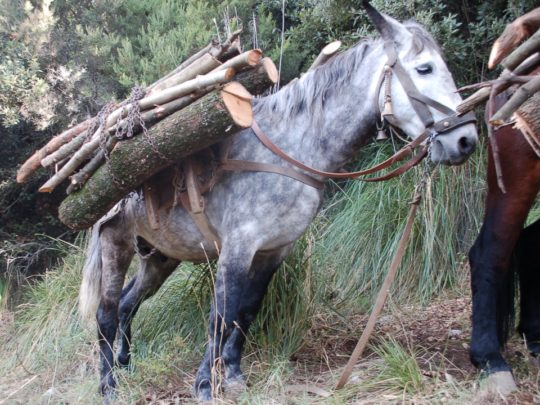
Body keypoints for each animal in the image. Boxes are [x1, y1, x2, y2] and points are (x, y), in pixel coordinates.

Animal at [79, 3, 476, 400]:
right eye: (424, 68)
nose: (466, 140)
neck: (288, 149)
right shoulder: (238, 248)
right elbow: (220, 315)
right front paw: (206, 384)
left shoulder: (274, 251)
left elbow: (246, 311)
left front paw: (233, 374)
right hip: (116, 244)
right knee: (107, 313)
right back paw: (108, 384)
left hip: (161, 256)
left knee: (129, 302)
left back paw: (125, 363)